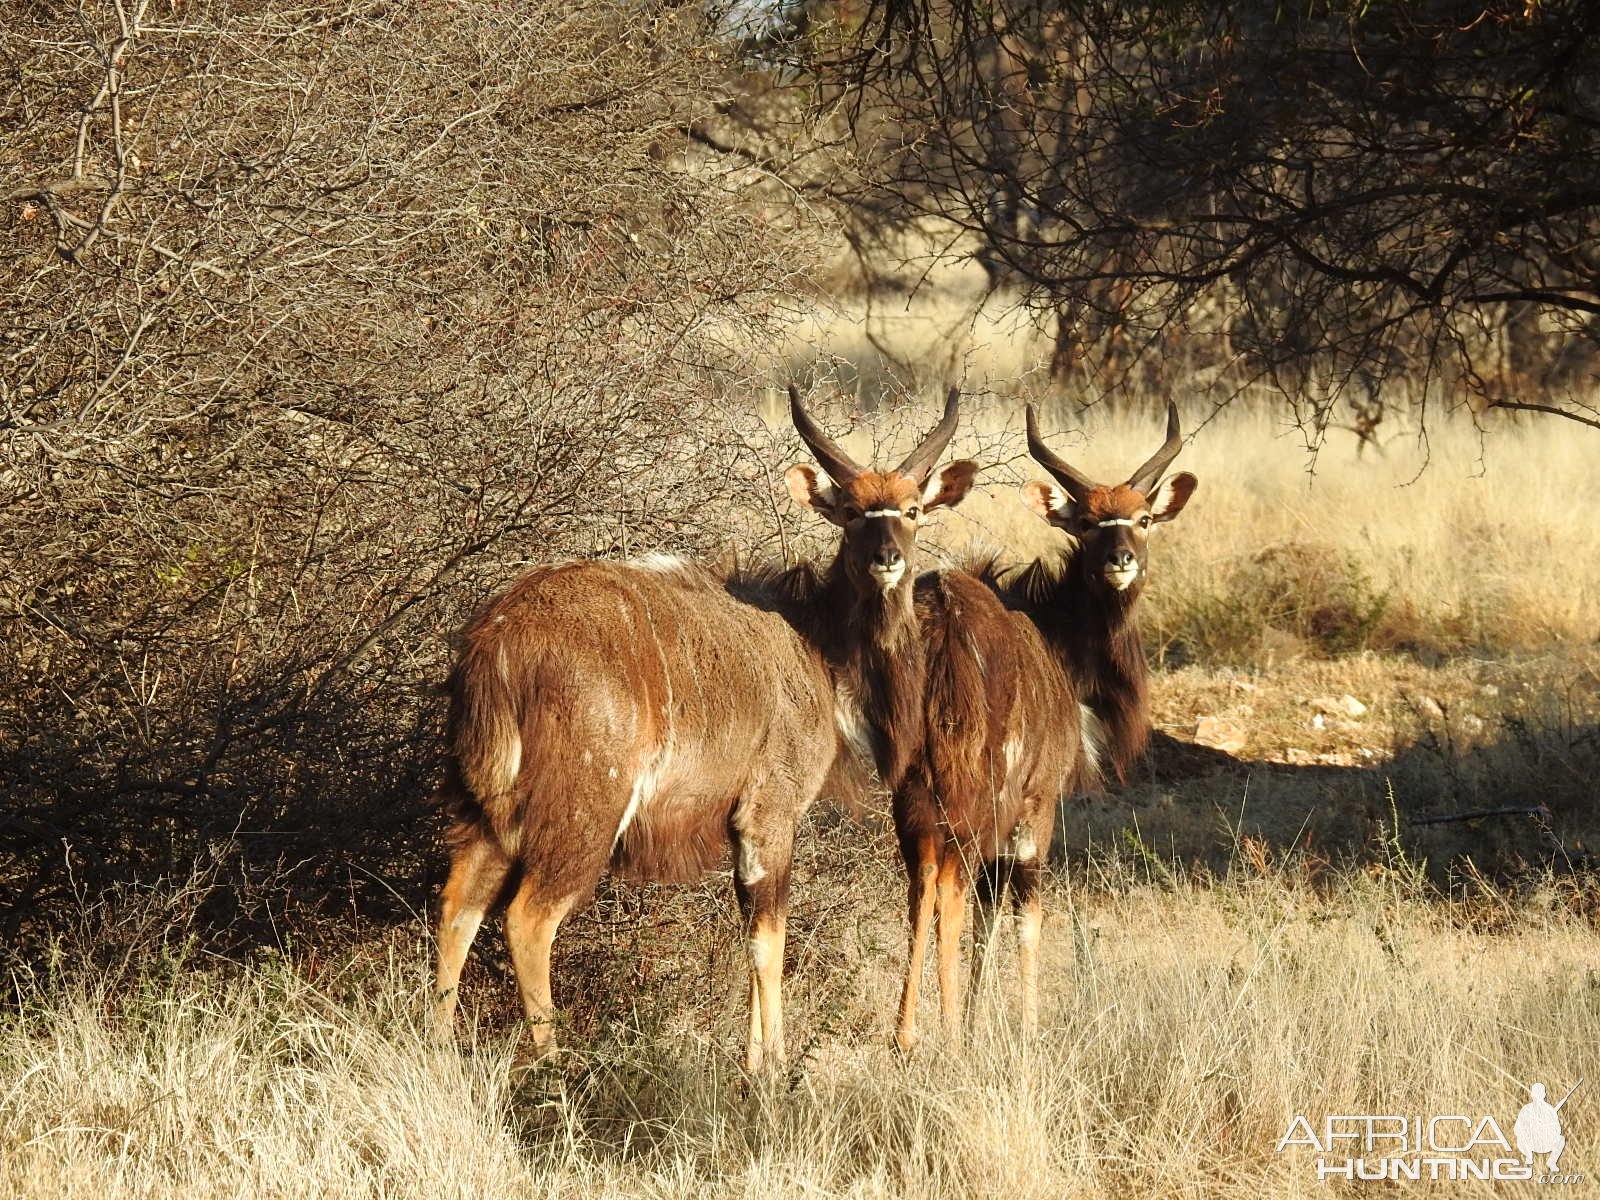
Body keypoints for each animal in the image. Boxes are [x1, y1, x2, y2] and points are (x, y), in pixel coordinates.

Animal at [432, 385, 972, 1068]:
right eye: (851, 512)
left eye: (911, 510)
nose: (888, 560)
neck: (813, 643)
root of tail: (495, 645)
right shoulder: (769, 814)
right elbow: (769, 940)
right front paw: (773, 1067)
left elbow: (752, 934)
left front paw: (752, 1061)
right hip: (583, 813)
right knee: (528, 918)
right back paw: (554, 1065)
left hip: (486, 810)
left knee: (459, 906)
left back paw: (434, 1045)